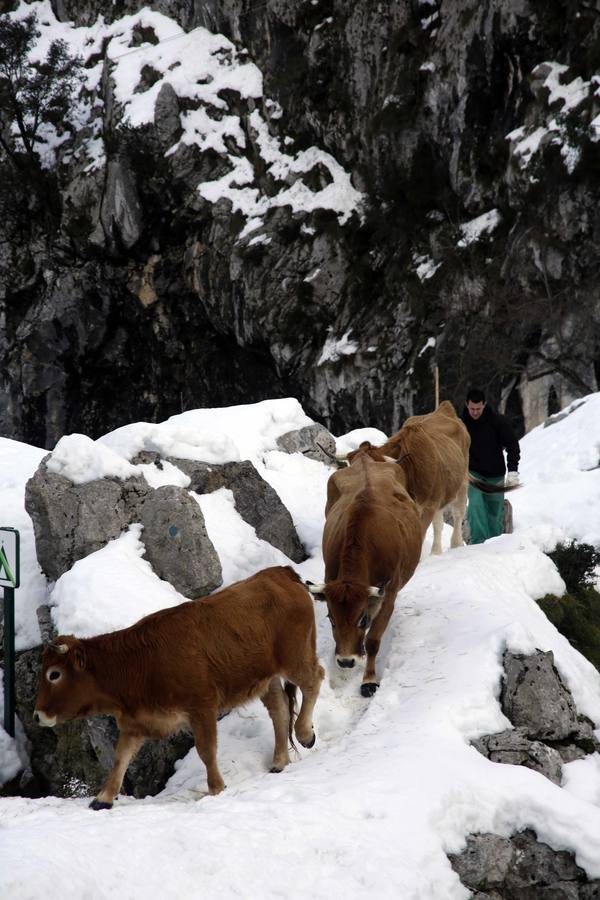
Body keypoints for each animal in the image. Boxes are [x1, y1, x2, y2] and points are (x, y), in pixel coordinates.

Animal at [34, 564, 324, 808]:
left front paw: (216, 789)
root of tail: (279, 572)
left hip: (296, 658)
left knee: (314, 680)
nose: (37, 715)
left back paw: (305, 733)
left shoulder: (202, 706)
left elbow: (206, 751)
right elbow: (121, 758)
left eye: (54, 674)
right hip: (267, 677)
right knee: (279, 709)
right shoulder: (135, 722)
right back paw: (279, 761)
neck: (139, 663)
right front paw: (103, 798)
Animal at [310, 442, 422, 696]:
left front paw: (369, 679)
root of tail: (364, 456)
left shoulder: (388, 595)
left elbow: (373, 641)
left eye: (361, 619)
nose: (345, 661)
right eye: (331, 618)